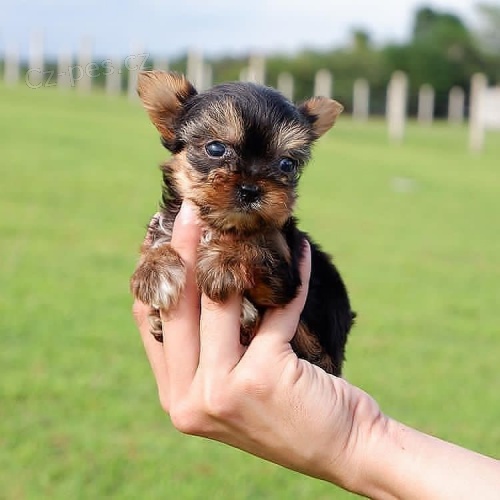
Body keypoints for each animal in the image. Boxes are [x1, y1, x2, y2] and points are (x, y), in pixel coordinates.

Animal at [130, 70, 356, 376]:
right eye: (215, 148)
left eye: (287, 164)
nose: (250, 189)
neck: (220, 225)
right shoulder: (170, 223)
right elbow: (158, 241)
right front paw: (154, 270)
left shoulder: (283, 276)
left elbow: (257, 248)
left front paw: (224, 259)